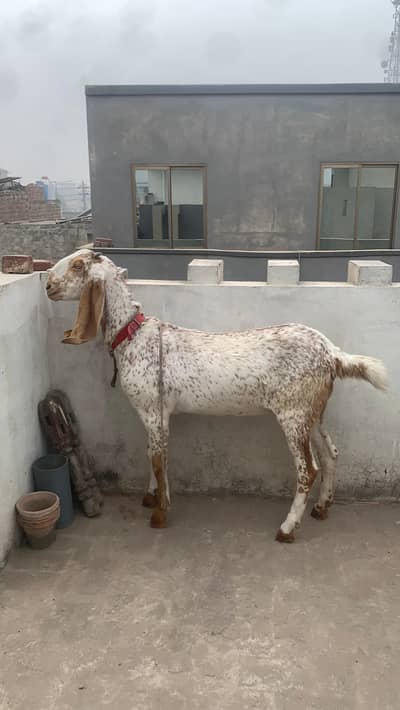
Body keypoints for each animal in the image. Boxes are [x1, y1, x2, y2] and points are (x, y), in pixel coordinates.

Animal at [46, 249, 388, 541]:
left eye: (78, 265)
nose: (48, 285)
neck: (134, 337)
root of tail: (332, 353)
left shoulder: (154, 411)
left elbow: (158, 458)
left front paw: (160, 514)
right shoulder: (155, 414)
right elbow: (151, 453)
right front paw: (151, 497)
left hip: (293, 414)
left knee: (309, 470)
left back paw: (287, 528)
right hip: (312, 412)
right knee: (331, 454)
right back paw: (321, 508)